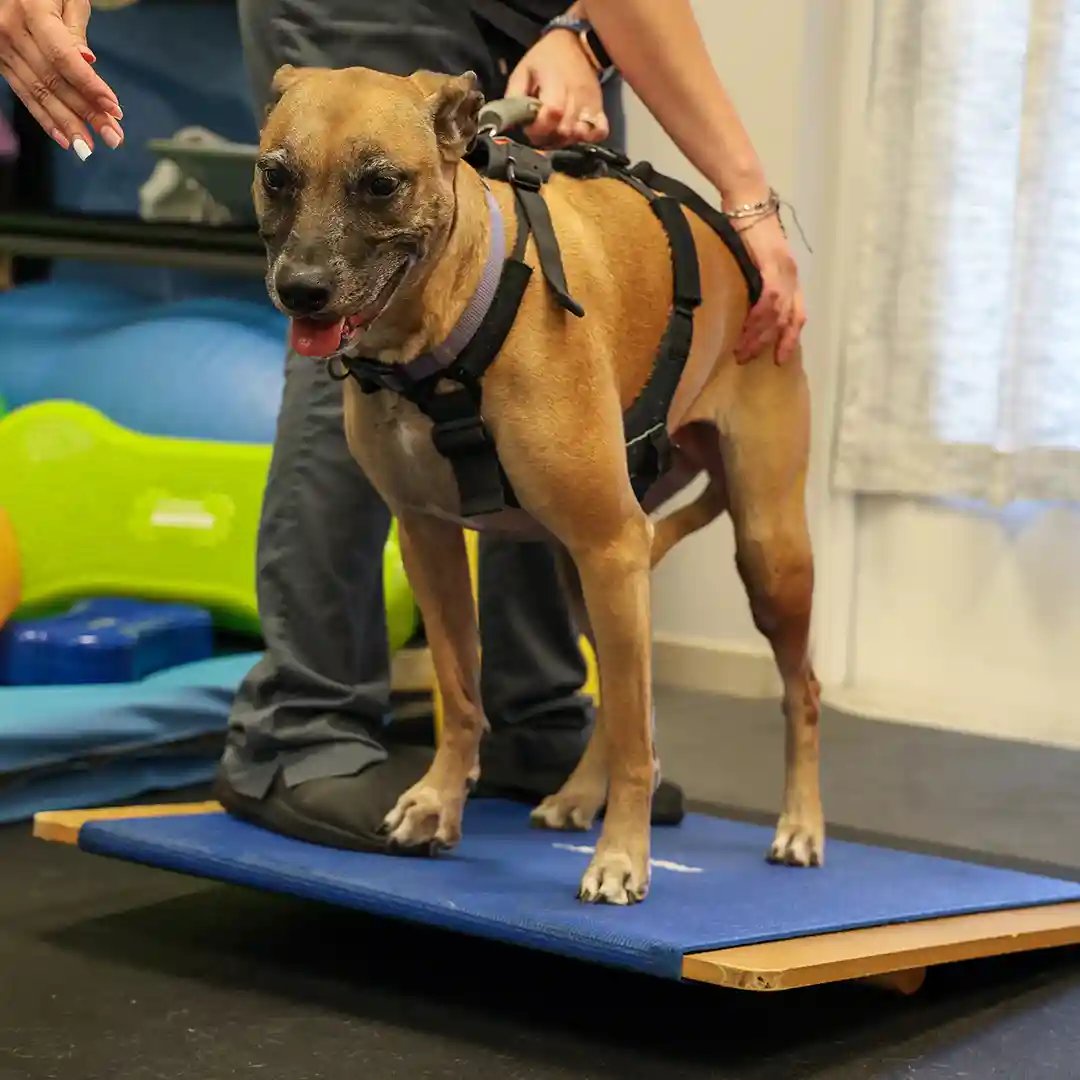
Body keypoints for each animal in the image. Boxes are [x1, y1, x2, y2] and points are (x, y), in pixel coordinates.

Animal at [254, 61, 825, 902]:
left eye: (381, 183)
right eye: (276, 174)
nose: (301, 289)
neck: (449, 328)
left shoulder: (611, 544)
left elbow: (634, 729)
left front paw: (622, 857)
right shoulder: (429, 536)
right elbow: (463, 689)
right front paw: (439, 802)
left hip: (762, 554)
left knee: (795, 691)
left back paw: (801, 825)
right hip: (589, 568)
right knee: (626, 705)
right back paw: (579, 795)